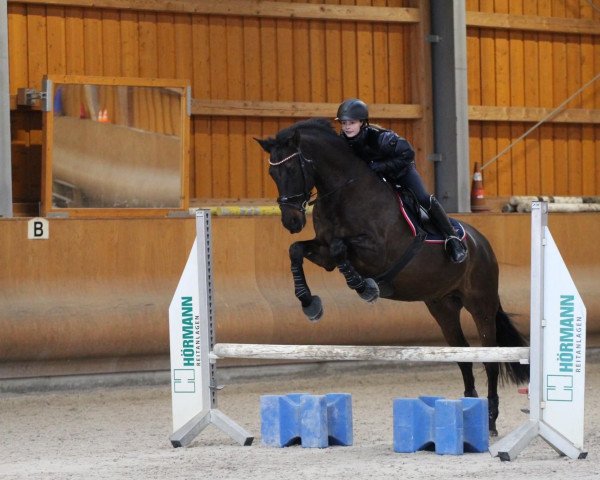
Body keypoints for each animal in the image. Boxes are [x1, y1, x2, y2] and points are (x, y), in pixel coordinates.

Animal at [255, 117, 528, 436]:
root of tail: (482, 244)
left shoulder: (377, 251)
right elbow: (297, 250)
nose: (291, 221)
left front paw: (364, 287)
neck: (344, 191)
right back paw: (469, 418)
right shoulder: (322, 252)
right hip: (443, 307)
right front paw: (309, 303)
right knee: (462, 357)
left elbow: (340, 248)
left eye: (291, 169)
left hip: (480, 305)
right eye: (272, 172)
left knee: (490, 360)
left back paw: (490, 421)